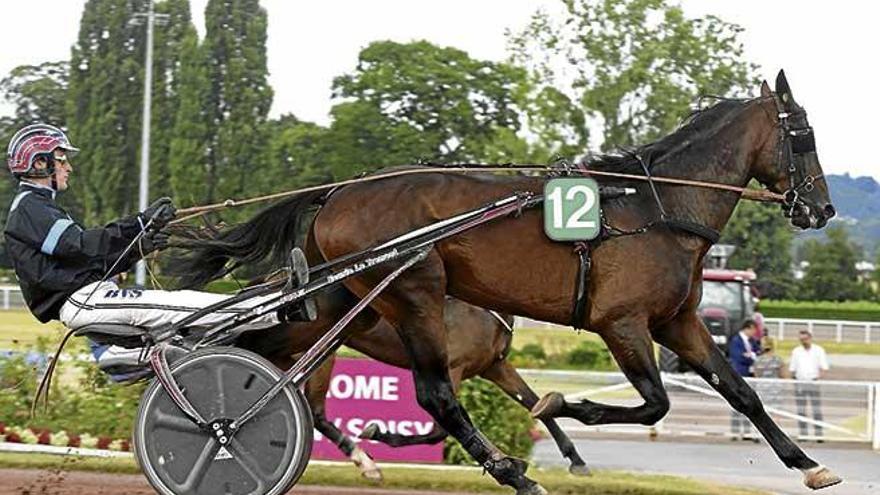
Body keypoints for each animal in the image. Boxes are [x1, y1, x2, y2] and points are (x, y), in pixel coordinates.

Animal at [175, 71, 836, 494]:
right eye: (802, 135)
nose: (822, 209)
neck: (655, 206)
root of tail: (337, 192)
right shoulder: (621, 322)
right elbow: (655, 402)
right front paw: (565, 404)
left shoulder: (677, 321)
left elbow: (741, 392)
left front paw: (808, 463)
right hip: (413, 290)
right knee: (434, 395)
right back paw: (510, 471)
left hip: (340, 302)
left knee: (263, 355)